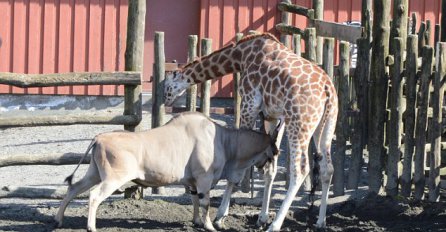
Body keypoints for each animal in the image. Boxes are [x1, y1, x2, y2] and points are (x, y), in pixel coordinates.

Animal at [164, 33, 338, 232]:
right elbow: (270, 167)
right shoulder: (273, 116)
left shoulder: (249, 104)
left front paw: (220, 216)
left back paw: (275, 225)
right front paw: (262, 217)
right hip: (325, 125)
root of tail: (328, 90)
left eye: (167, 85)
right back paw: (320, 221)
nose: (166, 100)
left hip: (300, 123)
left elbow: (238, 164)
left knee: (300, 170)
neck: (240, 55)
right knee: (327, 168)